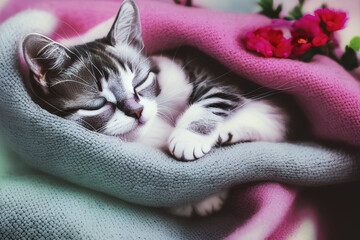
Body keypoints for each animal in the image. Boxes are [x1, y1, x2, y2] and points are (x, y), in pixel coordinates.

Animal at [21, 0, 308, 218]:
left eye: (139, 82)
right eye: (99, 104)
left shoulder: (212, 73)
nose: (137, 111)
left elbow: (213, 96)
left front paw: (189, 137)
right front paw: (197, 199)